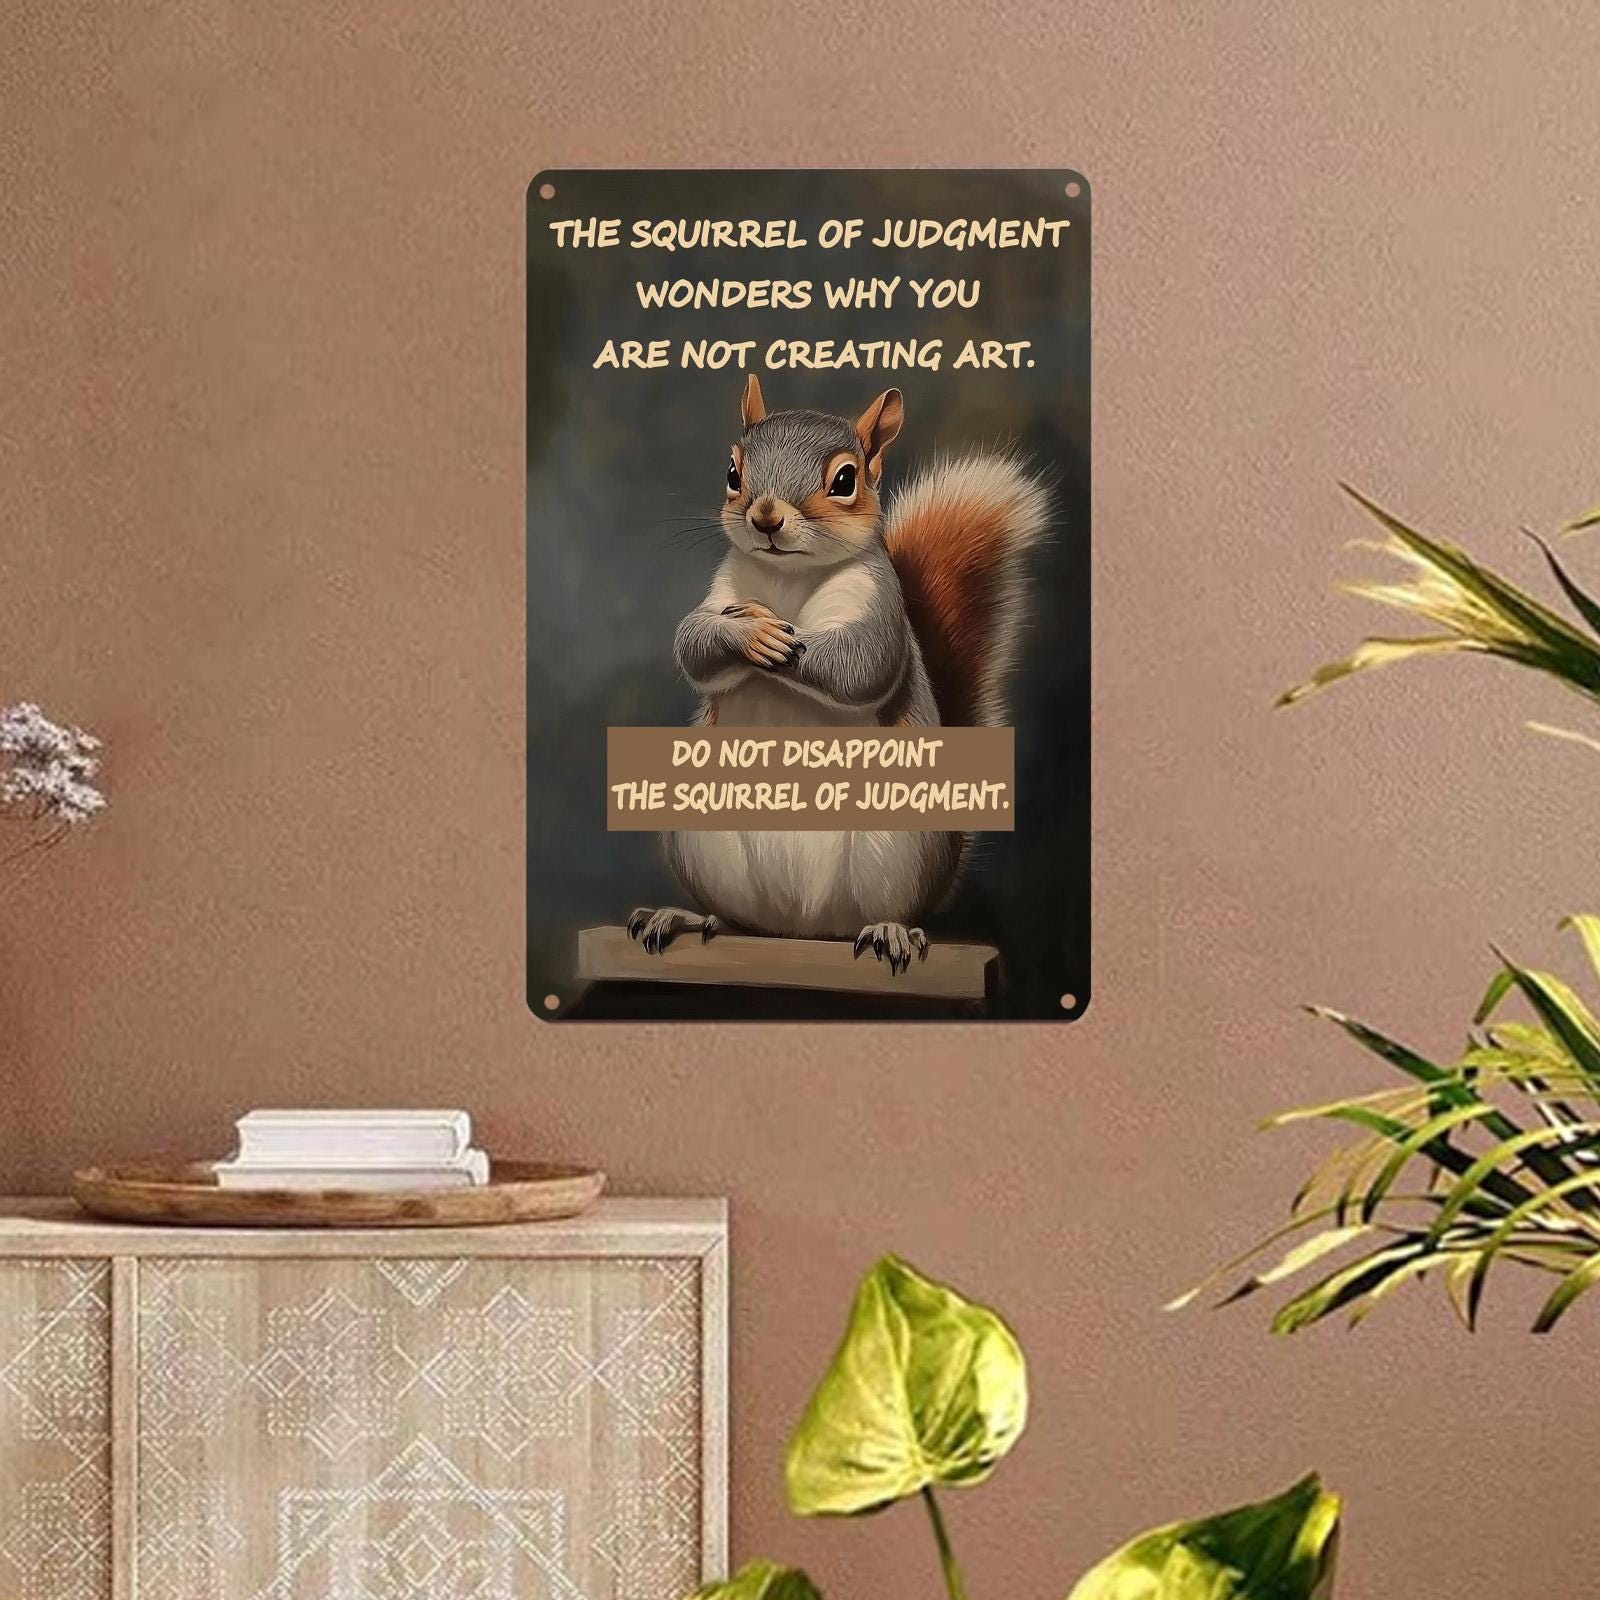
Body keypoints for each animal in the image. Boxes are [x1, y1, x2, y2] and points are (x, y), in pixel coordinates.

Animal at [627, 375, 1048, 975]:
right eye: (732, 472)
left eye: (845, 480)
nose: (766, 517)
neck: (787, 578)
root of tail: (802, 928)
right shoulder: (723, 589)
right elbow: (692, 643)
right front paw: (748, 633)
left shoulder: (879, 603)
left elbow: (861, 665)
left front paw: (779, 640)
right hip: (698, 834)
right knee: (737, 920)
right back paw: (683, 917)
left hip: (897, 847)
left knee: (882, 910)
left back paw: (890, 930)